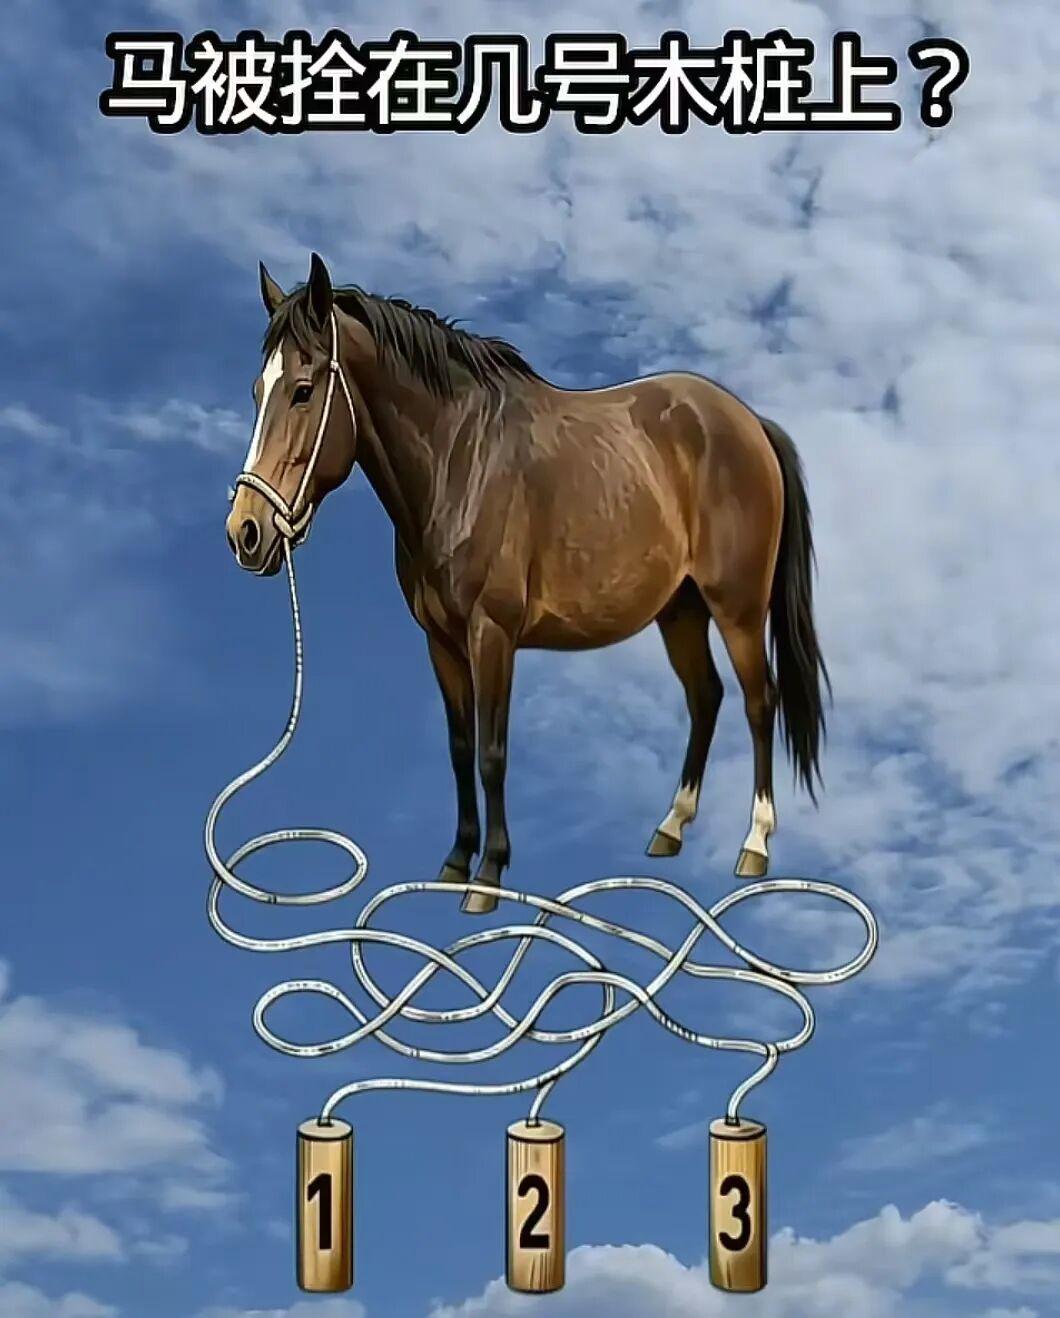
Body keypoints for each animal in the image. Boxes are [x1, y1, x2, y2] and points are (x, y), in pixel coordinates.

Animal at [225, 253, 829, 915]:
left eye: (303, 391)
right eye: (256, 391)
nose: (245, 532)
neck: (459, 461)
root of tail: (750, 422)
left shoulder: (493, 634)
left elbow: (492, 753)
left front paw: (488, 877)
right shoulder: (441, 642)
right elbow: (460, 747)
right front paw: (455, 863)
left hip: (737, 606)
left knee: (758, 701)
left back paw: (754, 845)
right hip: (681, 610)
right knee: (706, 698)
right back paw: (670, 830)